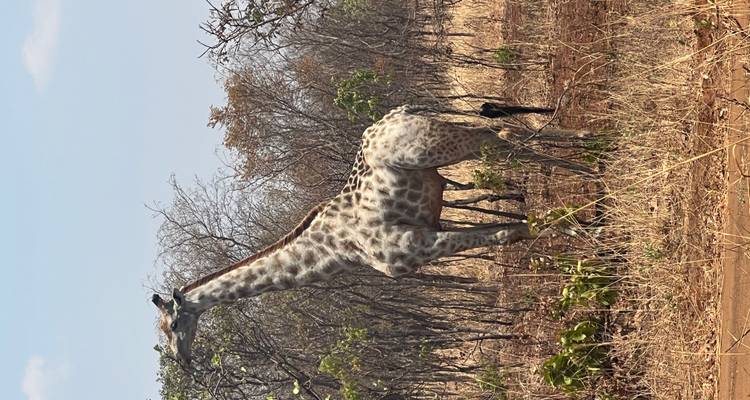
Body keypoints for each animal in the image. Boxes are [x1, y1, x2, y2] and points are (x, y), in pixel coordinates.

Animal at [151, 103, 588, 364]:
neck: (339, 250)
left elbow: (510, 233)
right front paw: (579, 227)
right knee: (506, 134)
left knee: (502, 140)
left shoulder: (418, 247)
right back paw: (592, 147)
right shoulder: (433, 225)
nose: (182, 361)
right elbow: (510, 230)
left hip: (442, 146)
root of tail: (400, 113)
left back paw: (594, 165)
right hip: (447, 140)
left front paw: (577, 231)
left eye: (171, 326)